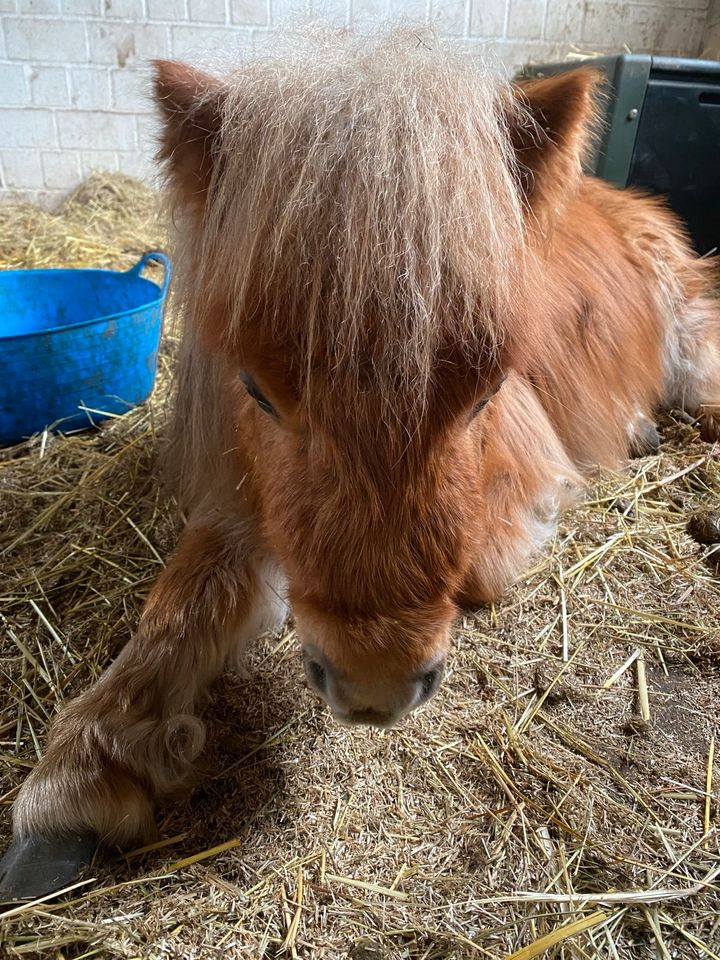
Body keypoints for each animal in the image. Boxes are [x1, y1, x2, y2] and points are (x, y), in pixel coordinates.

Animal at [7, 31, 720, 856]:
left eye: (486, 392)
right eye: (255, 388)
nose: (375, 687)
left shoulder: (525, 480)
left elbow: (476, 566)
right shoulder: (240, 485)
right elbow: (186, 592)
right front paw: (93, 752)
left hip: (694, 343)